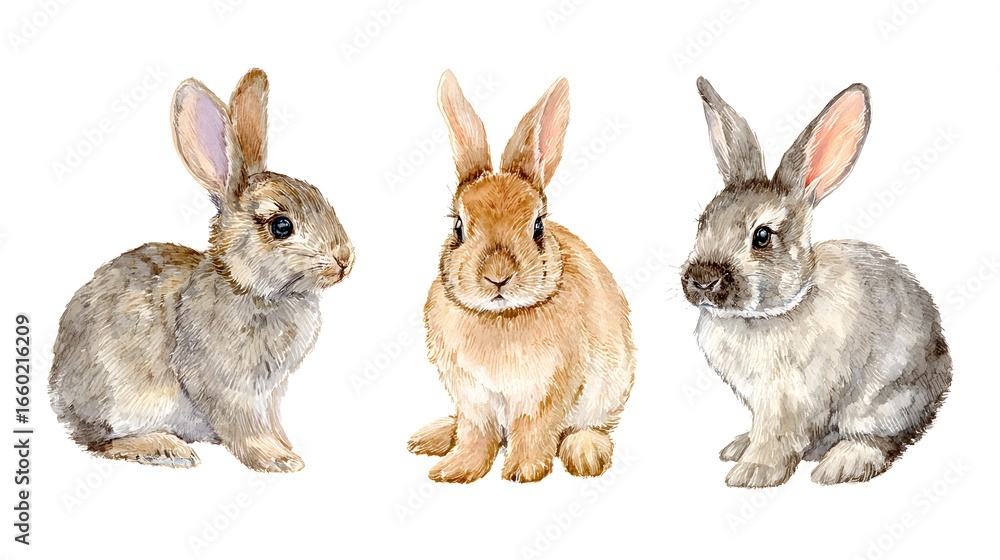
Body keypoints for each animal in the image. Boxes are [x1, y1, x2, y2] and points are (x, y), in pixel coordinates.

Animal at [48, 68, 354, 472]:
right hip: (120, 399)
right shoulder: (223, 382)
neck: (246, 285)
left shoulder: (272, 391)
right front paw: (278, 460)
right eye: (281, 226)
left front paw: (287, 447)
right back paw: (165, 448)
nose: (345, 259)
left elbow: (271, 420)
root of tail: (57, 395)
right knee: (98, 441)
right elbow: (243, 426)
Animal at [406, 71, 636, 483]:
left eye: (538, 227)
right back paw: (431, 437)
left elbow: (533, 428)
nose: (498, 277)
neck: (501, 318)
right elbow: (476, 434)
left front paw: (522, 472)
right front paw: (454, 470)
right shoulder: (472, 396)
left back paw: (585, 455)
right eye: (458, 227)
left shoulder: (547, 390)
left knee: (591, 428)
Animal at [680, 77, 952, 487]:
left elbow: (776, 438)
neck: (770, 314)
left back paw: (841, 465)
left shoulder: (791, 399)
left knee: (880, 439)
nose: (702, 279)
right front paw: (744, 454)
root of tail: (944, 376)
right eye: (702, 222)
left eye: (762, 236)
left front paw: (753, 473)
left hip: (882, 401)